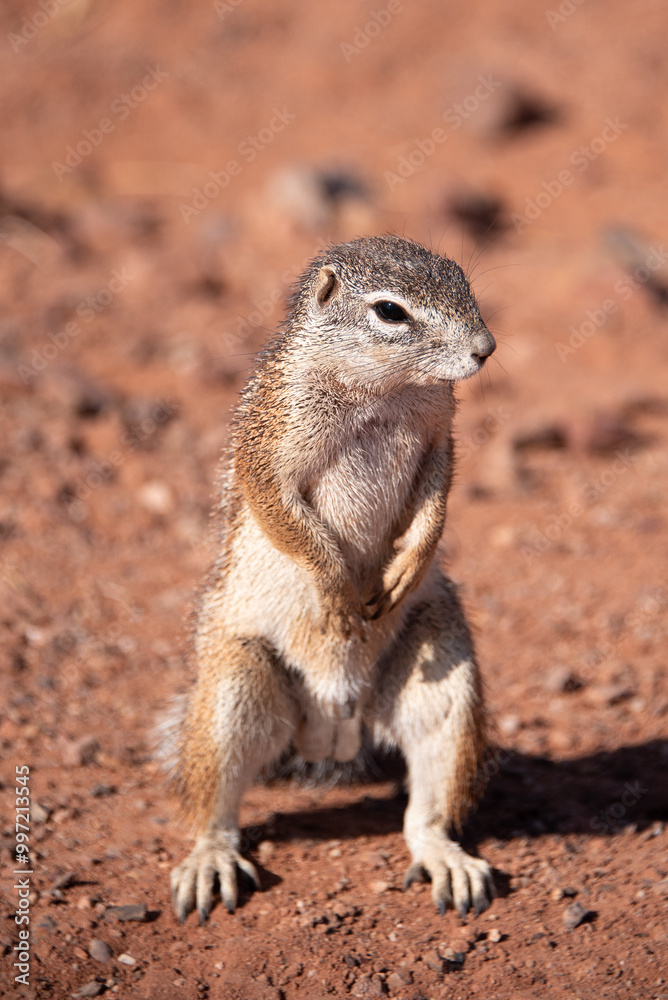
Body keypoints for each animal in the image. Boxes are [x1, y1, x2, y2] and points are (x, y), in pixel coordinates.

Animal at [165, 234, 497, 924]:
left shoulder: (440, 434)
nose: (486, 348)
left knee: (426, 807)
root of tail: (334, 727)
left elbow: (437, 493)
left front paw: (407, 564)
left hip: (444, 672)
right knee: (213, 802)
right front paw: (337, 593)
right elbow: (284, 514)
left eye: (463, 281)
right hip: (234, 685)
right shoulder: (272, 437)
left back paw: (446, 858)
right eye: (390, 312)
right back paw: (209, 860)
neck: (384, 389)